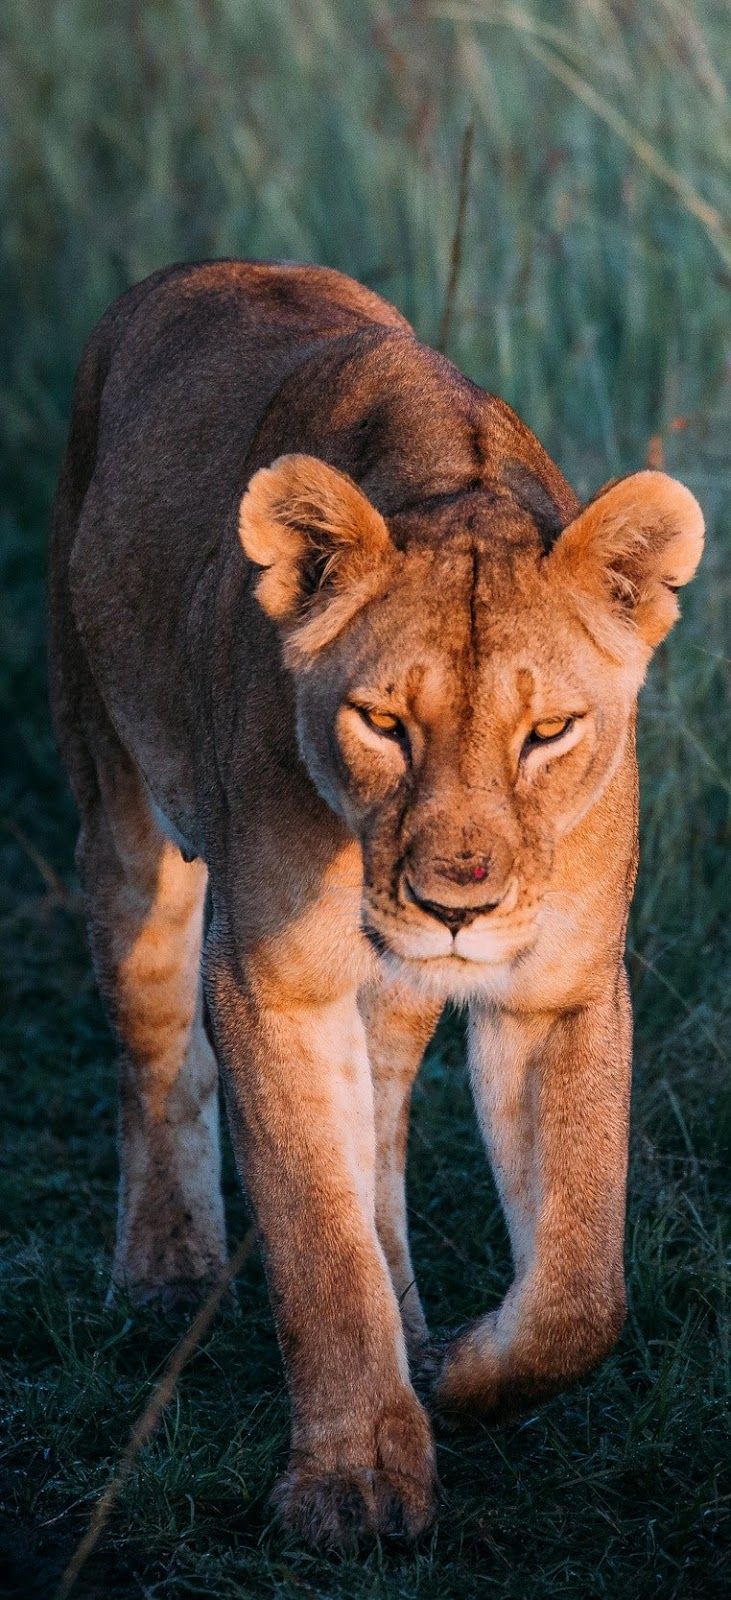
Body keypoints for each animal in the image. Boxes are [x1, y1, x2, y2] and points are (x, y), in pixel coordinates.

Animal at [49, 260, 703, 1548]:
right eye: (382, 723)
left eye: (548, 730)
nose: (455, 904)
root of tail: (187, 273)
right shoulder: (269, 983)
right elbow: (316, 1238)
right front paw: (352, 1479)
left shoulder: (556, 990)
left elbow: (579, 1285)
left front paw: (458, 1370)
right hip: (119, 801)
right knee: (155, 1048)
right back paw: (165, 1265)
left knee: (385, 1131)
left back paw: (410, 1321)